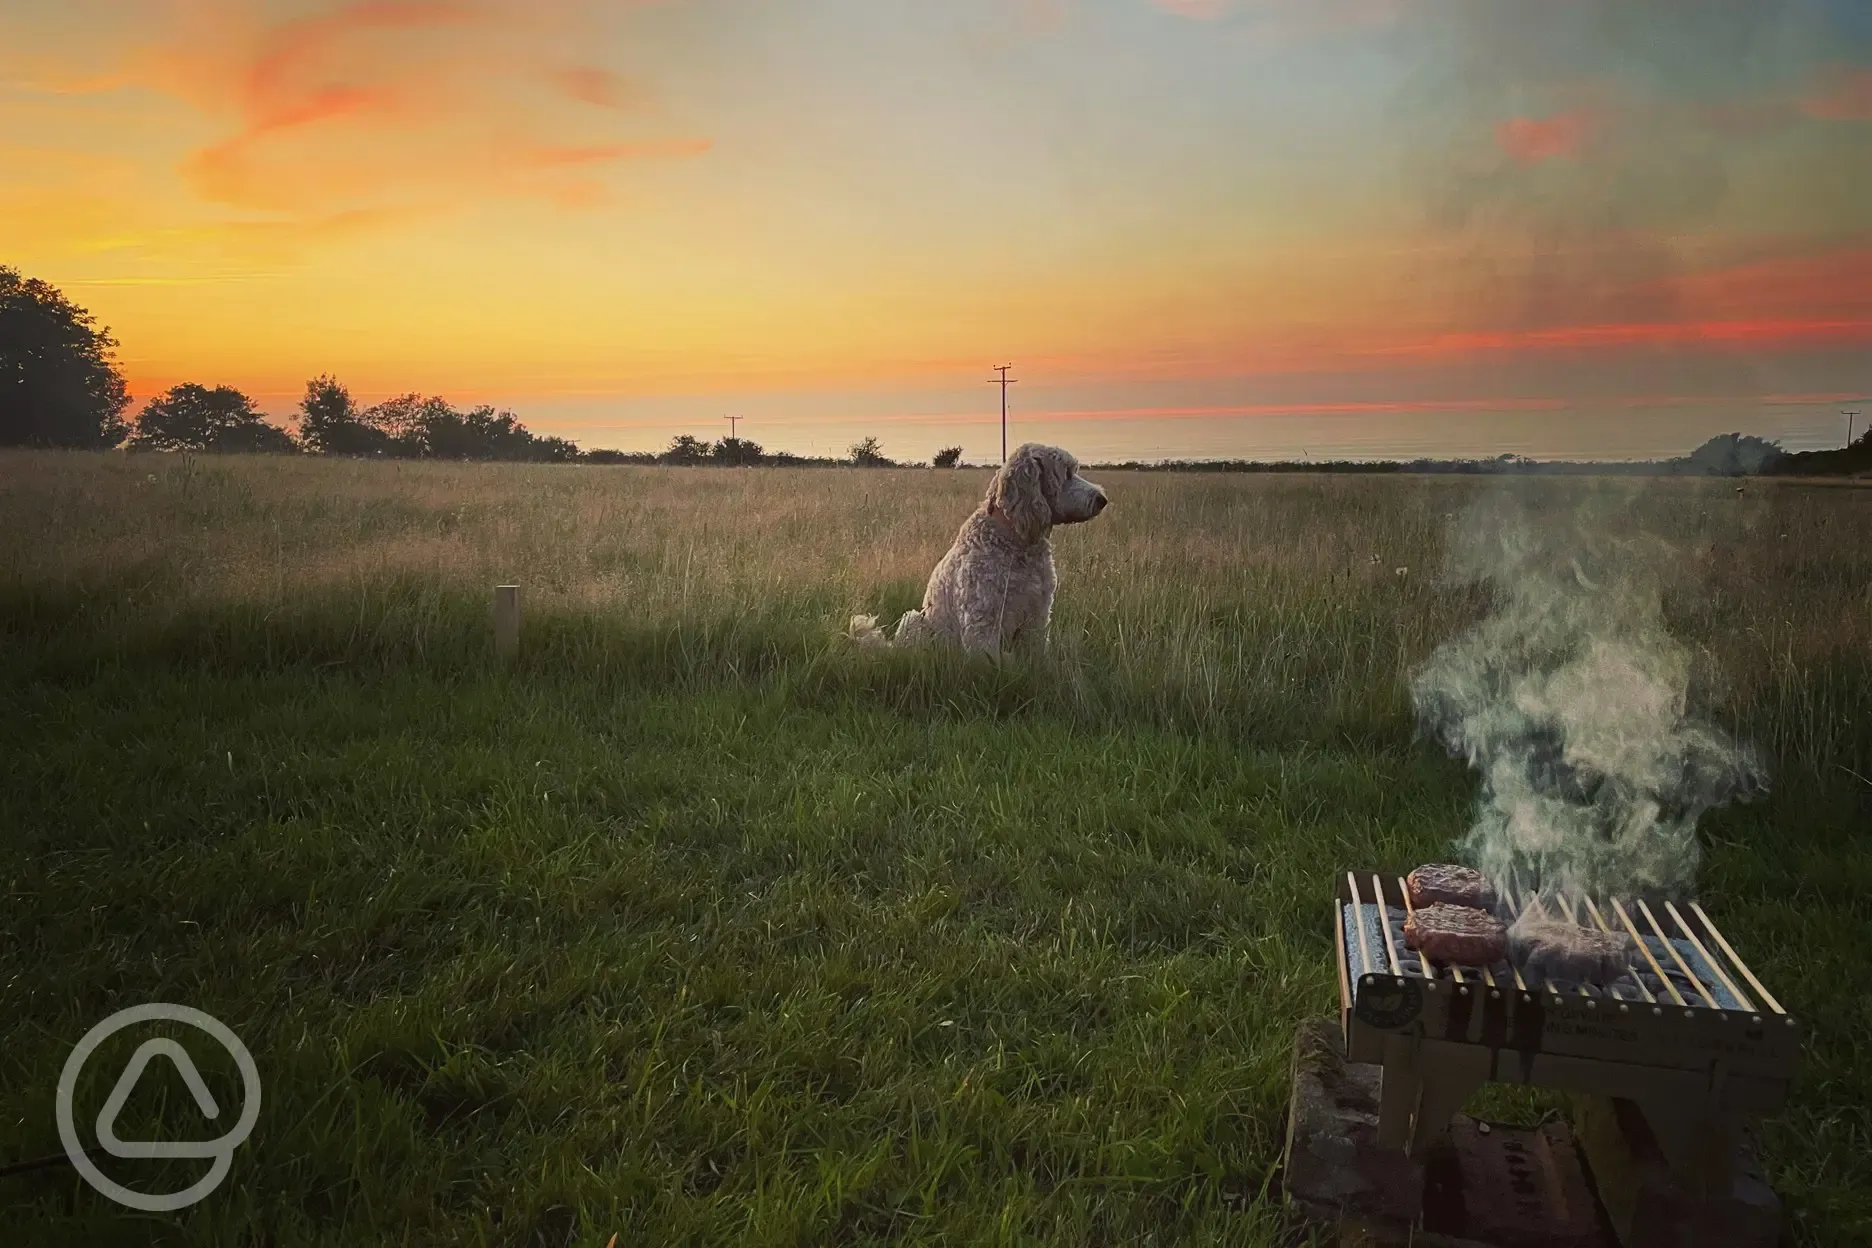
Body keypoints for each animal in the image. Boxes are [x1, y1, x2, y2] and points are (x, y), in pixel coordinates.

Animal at [853, 441, 1100, 654]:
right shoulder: (983, 620)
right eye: (1066, 473)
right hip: (915, 620)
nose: (1102, 499)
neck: (1016, 541)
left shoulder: (1037, 617)